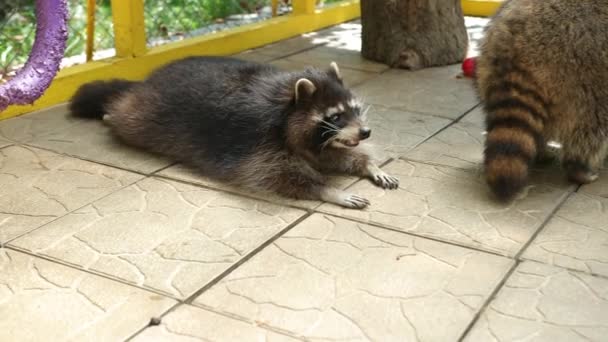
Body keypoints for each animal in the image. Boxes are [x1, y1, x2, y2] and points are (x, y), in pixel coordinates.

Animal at [69, 56, 400, 208]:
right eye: (335, 116)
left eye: (354, 109)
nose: (366, 132)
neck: (286, 105)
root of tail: (149, 80)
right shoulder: (258, 142)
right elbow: (279, 177)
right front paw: (328, 191)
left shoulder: (317, 142)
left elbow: (332, 155)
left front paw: (369, 165)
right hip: (148, 114)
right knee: (129, 118)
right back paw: (112, 113)